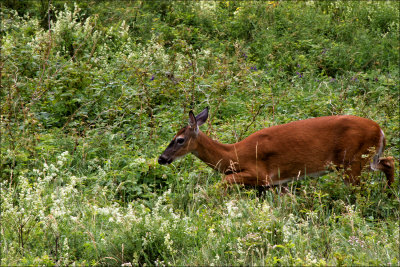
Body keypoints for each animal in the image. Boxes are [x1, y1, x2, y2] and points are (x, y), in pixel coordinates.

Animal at [158, 108, 396, 189]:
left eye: (179, 139)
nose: (161, 158)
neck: (233, 155)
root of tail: (380, 130)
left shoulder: (261, 174)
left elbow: (222, 183)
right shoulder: (277, 184)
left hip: (352, 162)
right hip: (368, 159)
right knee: (390, 161)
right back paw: (390, 194)